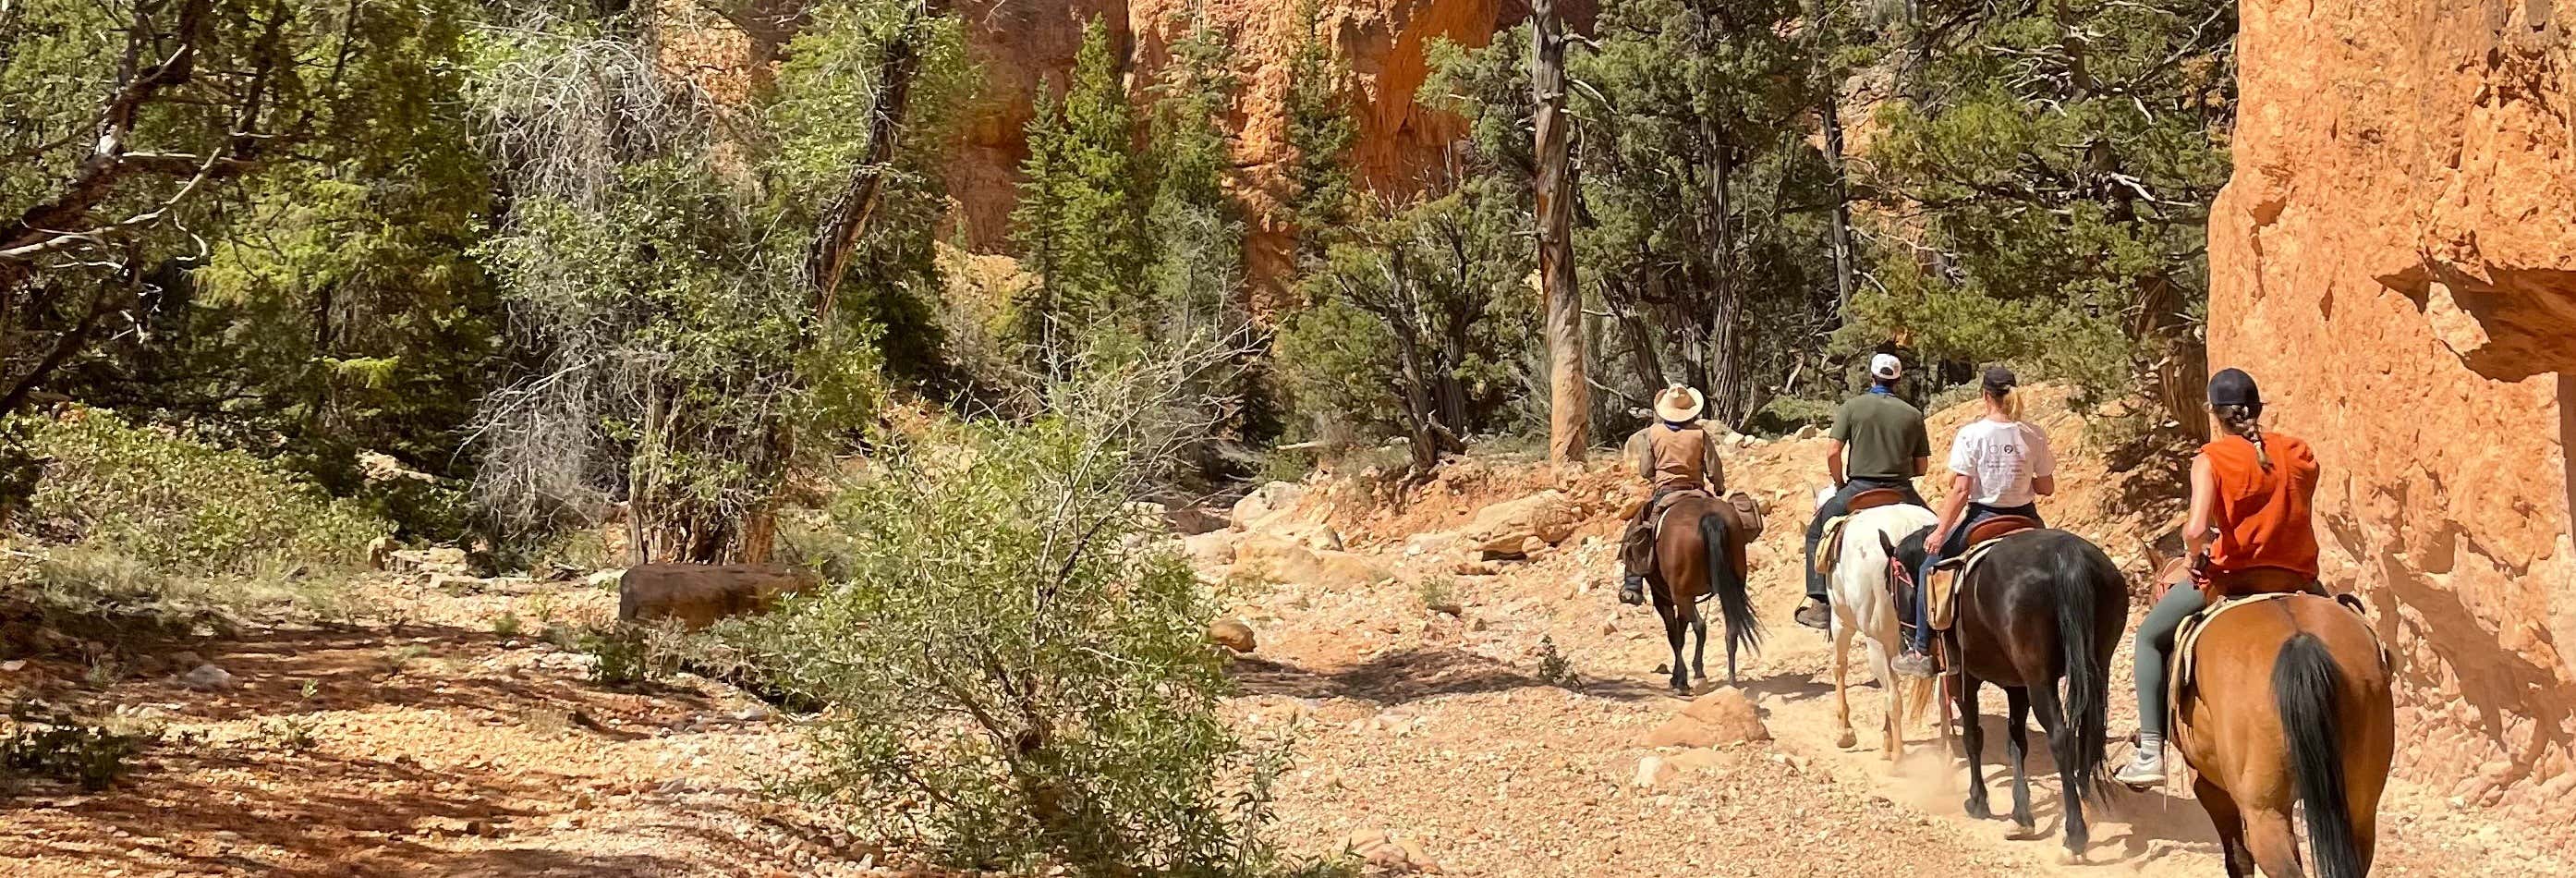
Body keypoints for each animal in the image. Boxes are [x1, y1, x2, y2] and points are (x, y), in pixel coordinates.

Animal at [1638, 492, 1761, 689]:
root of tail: (1710, 517)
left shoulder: (1665, 598)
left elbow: (1674, 634)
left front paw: (1679, 680)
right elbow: (1681, 630)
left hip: (1681, 596)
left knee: (1699, 626)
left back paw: (1698, 676)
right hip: (1730, 588)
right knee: (1731, 629)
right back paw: (1731, 681)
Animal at [1823, 486, 1937, 757]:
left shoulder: (1841, 621)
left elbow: (1839, 667)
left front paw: (1845, 733)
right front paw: (1886, 739)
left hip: (1874, 637)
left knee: (1893, 697)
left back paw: (1899, 758)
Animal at [1885, 528, 2122, 854]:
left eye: (1891, 585)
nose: (1904, 639)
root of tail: (2067, 555)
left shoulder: (1963, 679)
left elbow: (1973, 738)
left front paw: (1978, 800)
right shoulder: (2016, 686)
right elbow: (2016, 743)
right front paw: (2021, 816)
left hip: (2039, 680)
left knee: (2061, 738)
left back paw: (2075, 834)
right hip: (2097, 665)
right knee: (2088, 731)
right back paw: (2086, 805)